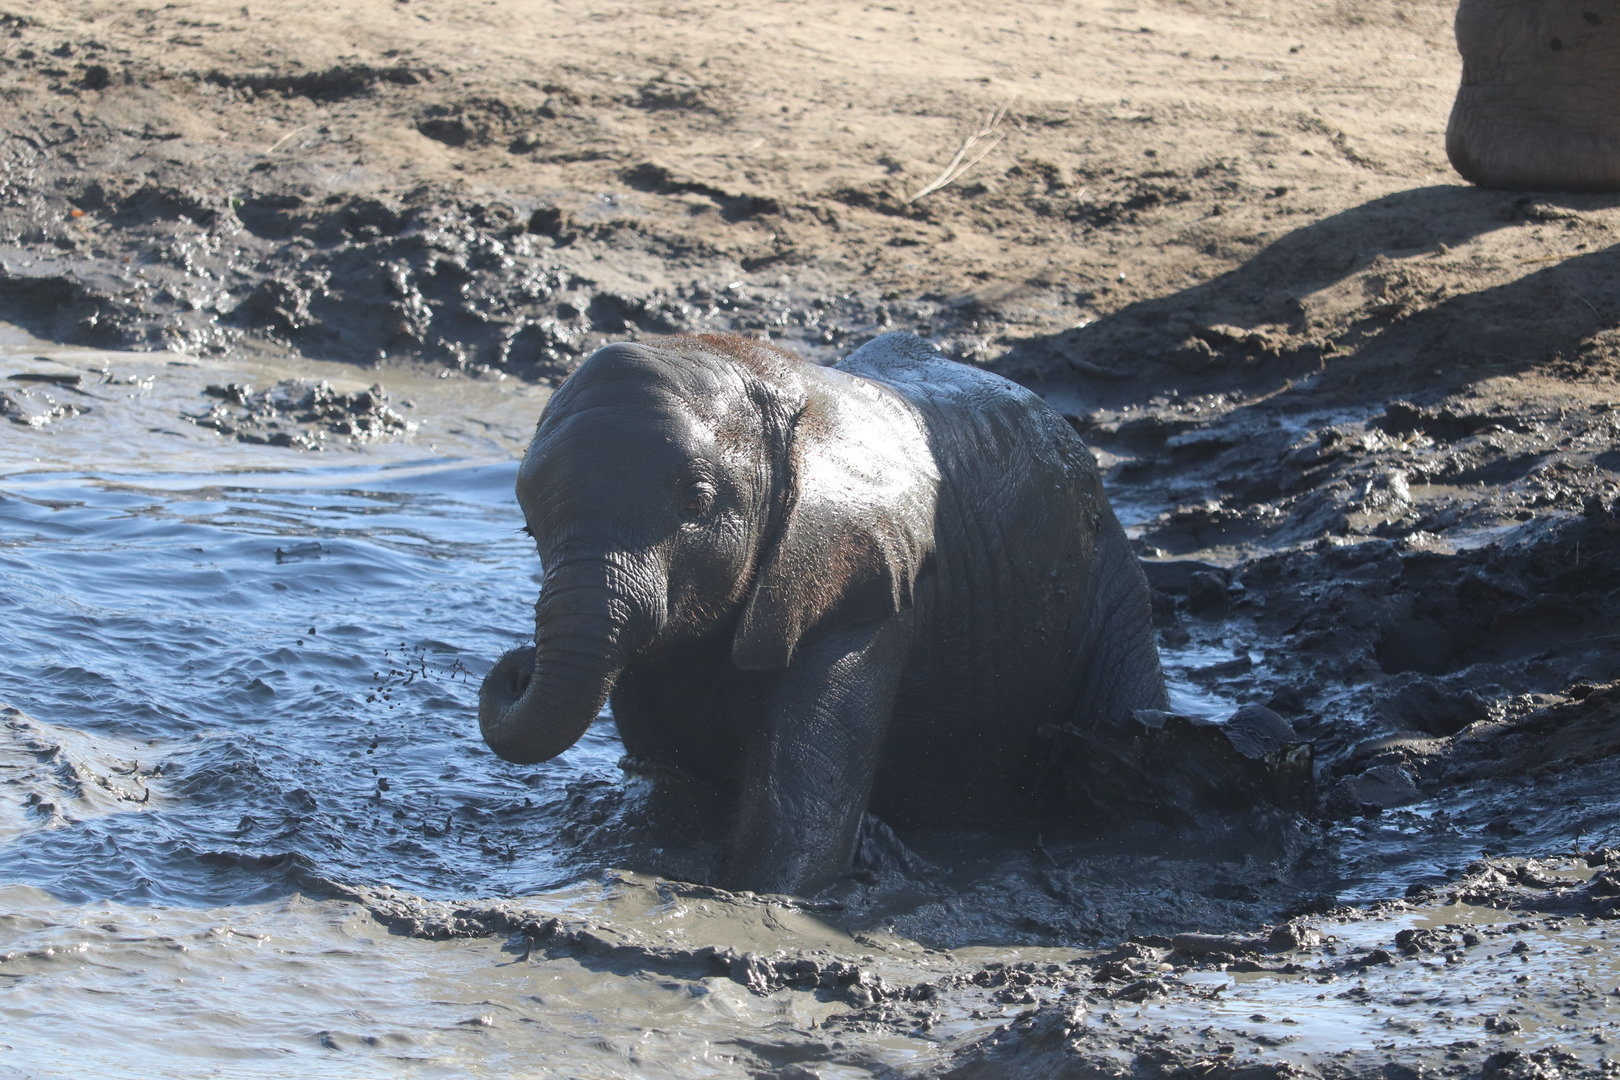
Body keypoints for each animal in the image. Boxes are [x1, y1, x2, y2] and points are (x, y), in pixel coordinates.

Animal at [477, 331, 1168, 895]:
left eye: (696, 501)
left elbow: (797, 818)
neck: (768, 373)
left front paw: (764, 898)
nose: (517, 664)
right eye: (529, 527)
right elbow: (667, 774)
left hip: (1113, 591)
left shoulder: (867, 592)